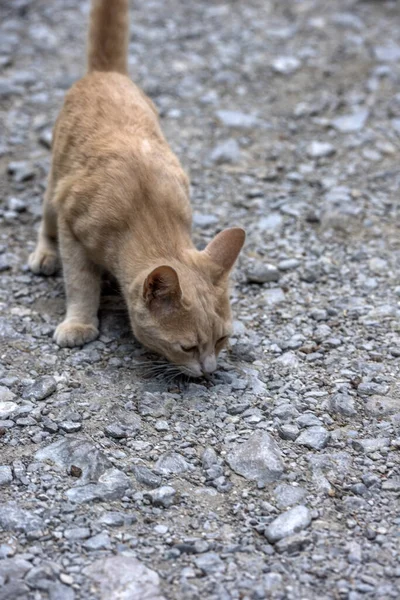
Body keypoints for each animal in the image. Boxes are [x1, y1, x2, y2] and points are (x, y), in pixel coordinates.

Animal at [28, 0, 244, 378]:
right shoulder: (72, 226)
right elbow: (80, 282)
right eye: (188, 347)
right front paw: (80, 323)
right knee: (46, 222)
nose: (208, 370)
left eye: (221, 340)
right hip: (56, 187)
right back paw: (45, 255)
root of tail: (106, 74)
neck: (146, 212)